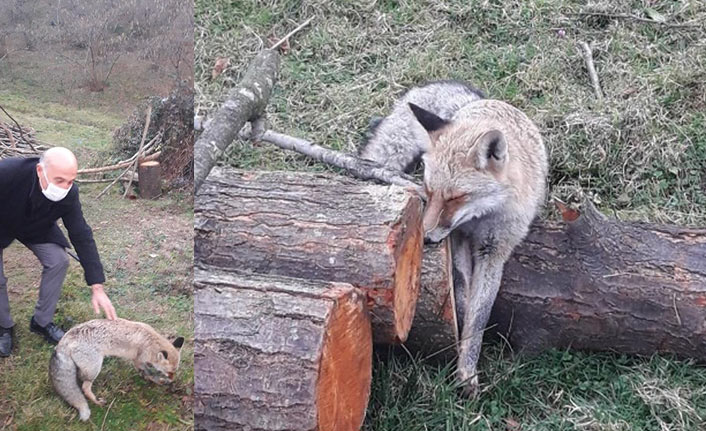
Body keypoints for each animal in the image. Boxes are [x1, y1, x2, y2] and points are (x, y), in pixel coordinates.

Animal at [49, 318, 184, 422]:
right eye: (170, 372)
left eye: (175, 371)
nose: (173, 379)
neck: (150, 342)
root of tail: (64, 339)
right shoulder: (138, 360)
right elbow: (148, 372)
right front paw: (158, 380)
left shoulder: (138, 360)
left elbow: (144, 372)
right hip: (95, 368)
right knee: (85, 388)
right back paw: (97, 402)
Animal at [360, 79, 548, 396]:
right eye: (428, 189)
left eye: (455, 197)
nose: (424, 238)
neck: (481, 218)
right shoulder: (457, 237)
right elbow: (461, 295)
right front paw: (457, 341)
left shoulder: (494, 251)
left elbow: (479, 315)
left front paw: (467, 370)